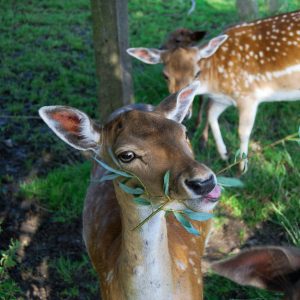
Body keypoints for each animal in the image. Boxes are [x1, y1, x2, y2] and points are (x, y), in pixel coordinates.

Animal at [127, 10, 300, 171]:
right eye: (165, 75)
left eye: (197, 73)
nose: (186, 113)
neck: (216, 84)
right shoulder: (223, 99)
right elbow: (211, 114)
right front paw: (224, 154)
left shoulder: (248, 95)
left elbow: (243, 132)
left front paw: (242, 166)